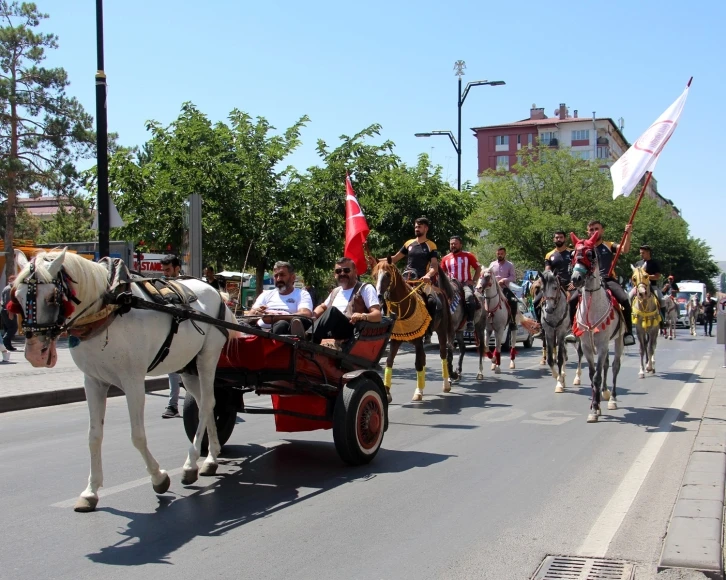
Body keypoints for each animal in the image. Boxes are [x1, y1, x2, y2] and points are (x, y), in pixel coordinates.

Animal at [10, 249, 239, 512]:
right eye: (17, 296)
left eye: (52, 297)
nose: (34, 354)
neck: (111, 305)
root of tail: (215, 291)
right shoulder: (93, 382)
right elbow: (94, 436)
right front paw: (91, 492)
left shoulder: (133, 380)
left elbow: (137, 435)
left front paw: (159, 477)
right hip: (187, 366)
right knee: (206, 404)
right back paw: (211, 457)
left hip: (208, 357)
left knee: (207, 404)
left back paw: (191, 464)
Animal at [378, 260, 452, 404]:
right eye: (376, 274)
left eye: (388, 274)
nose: (379, 295)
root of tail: (440, 291)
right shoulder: (396, 340)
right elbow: (389, 361)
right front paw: (387, 393)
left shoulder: (418, 341)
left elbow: (418, 364)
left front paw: (417, 392)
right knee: (424, 358)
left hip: (441, 332)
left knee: (442, 354)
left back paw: (446, 384)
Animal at [572, 230, 628, 422]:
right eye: (573, 254)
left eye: (590, 254)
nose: (576, 278)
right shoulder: (587, 346)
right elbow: (591, 375)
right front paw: (593, 407)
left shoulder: (603, 345)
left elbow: (597, 376)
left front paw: (596, 408)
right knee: (605, 365)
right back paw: (604, 394)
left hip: (619, 340)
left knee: (616, 366)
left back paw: (612, 399)